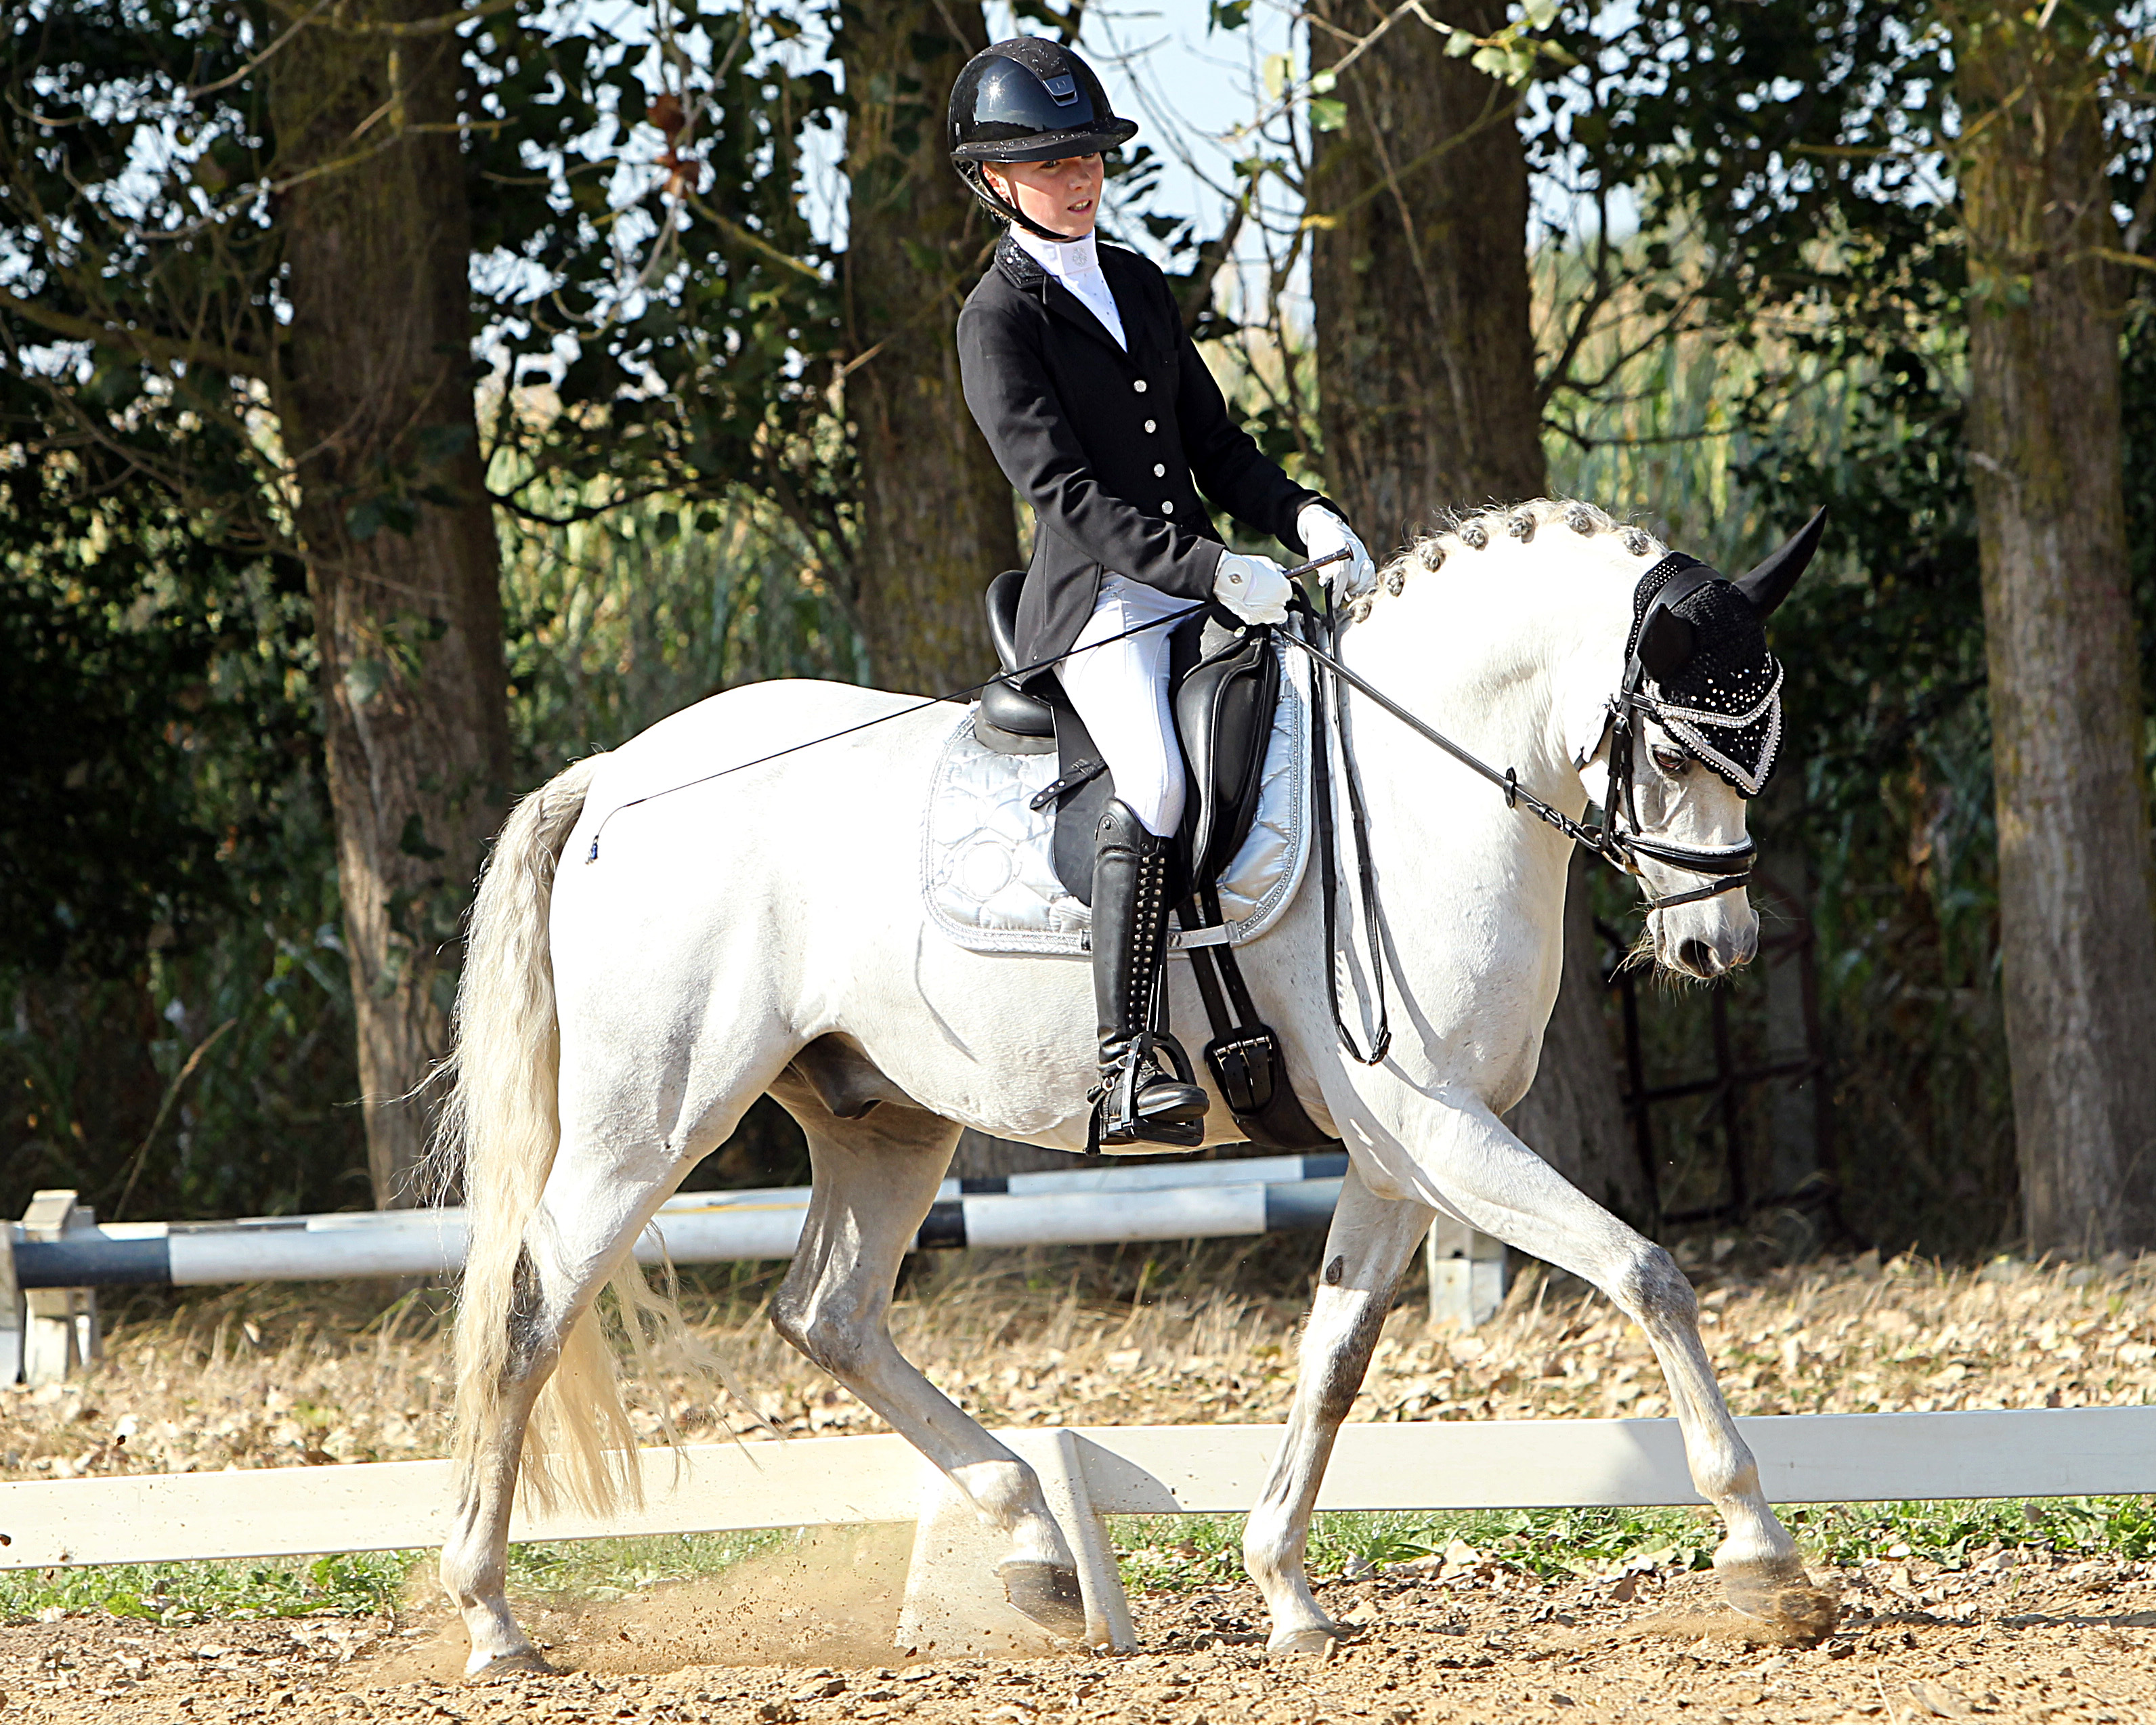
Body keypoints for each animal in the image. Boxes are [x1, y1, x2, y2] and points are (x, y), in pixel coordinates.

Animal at [436, 497, 1837, 1676]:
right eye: (1670, 748)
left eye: (1760, 741)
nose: (1716, 947)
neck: (1409, 787)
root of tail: (615, 774)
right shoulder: (1439, 1127)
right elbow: (1643, 1270)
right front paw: (1760, 1553)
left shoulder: (1397, 1157)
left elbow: (1333, 1357)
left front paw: (1285, 1591)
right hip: (646, 1120)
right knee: (530, 1307)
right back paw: (492, 1621)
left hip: (882, 1118)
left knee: (827, 1313)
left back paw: (1034, 1551)